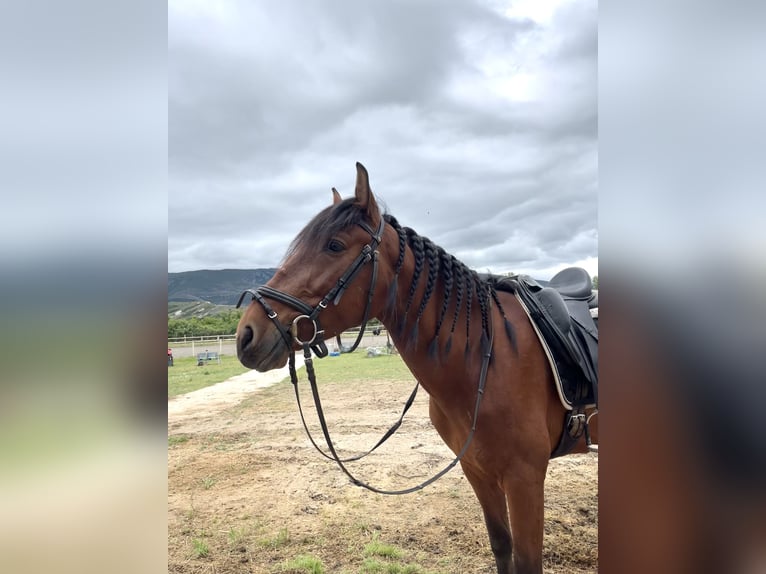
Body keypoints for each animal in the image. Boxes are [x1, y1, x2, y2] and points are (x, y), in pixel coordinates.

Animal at [237, 163, 596, 574]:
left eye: (334, 246)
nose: (247, 335)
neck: (485, 359)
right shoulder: (478, 470)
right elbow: (501, 545)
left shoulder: (526, 477)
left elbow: (526, 560)